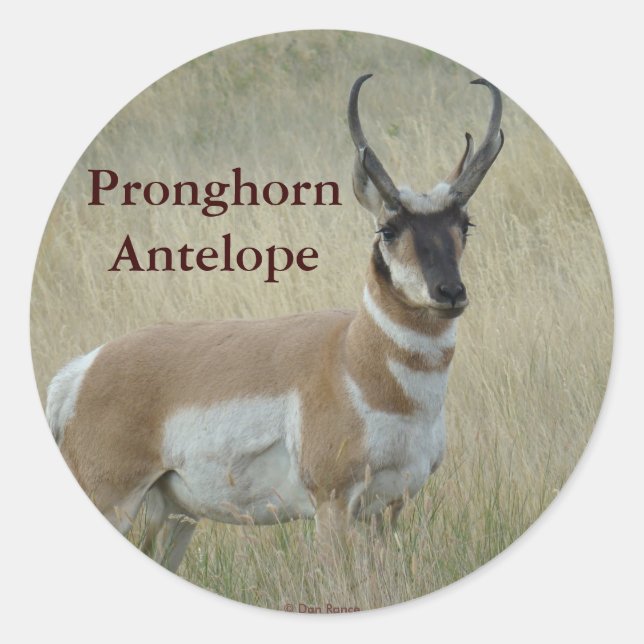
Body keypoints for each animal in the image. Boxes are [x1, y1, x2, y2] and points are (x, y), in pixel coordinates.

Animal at [46, 74, 503, 571]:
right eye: (388, 229)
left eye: (465, 223)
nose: (450, 292)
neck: (353, 358)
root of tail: (84, 369)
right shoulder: (332, 503)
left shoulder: (389, 508)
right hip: (113, 500)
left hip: (174, 516)